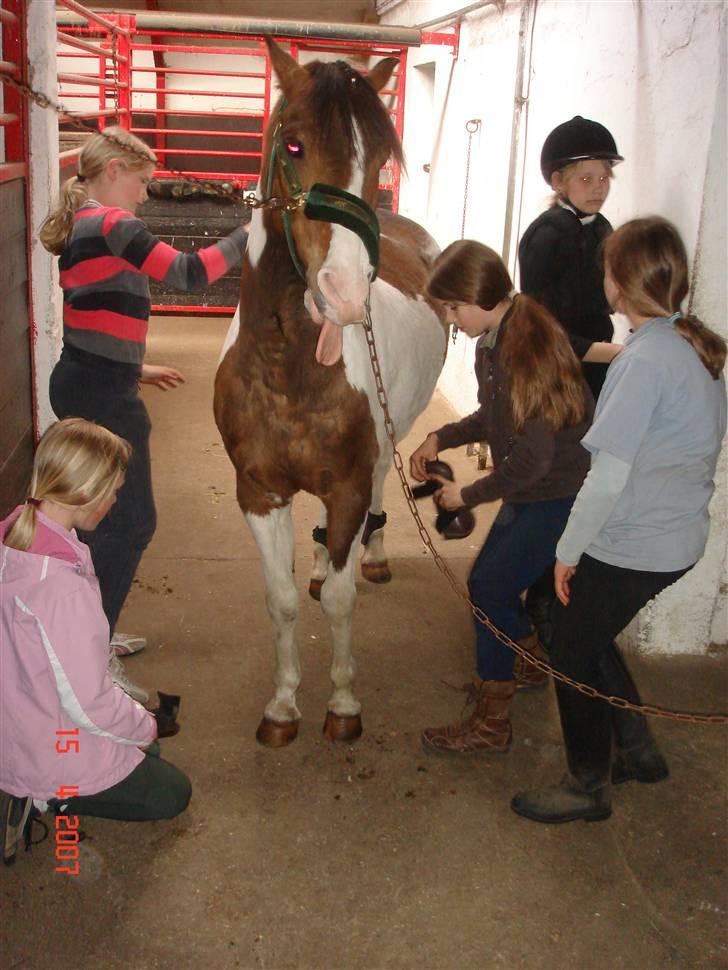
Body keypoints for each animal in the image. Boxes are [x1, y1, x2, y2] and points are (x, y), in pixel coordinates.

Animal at [213, 39, 446, 740]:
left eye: (381, 156)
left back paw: (372, 553)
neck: (286, 371)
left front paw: (342, 704)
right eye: (292, 144)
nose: (343, 293)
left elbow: (342, 604)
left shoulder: (347, 483)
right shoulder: (259, 493)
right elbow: (283, 600)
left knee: (379, 493)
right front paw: (283, 704)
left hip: (389, 441)